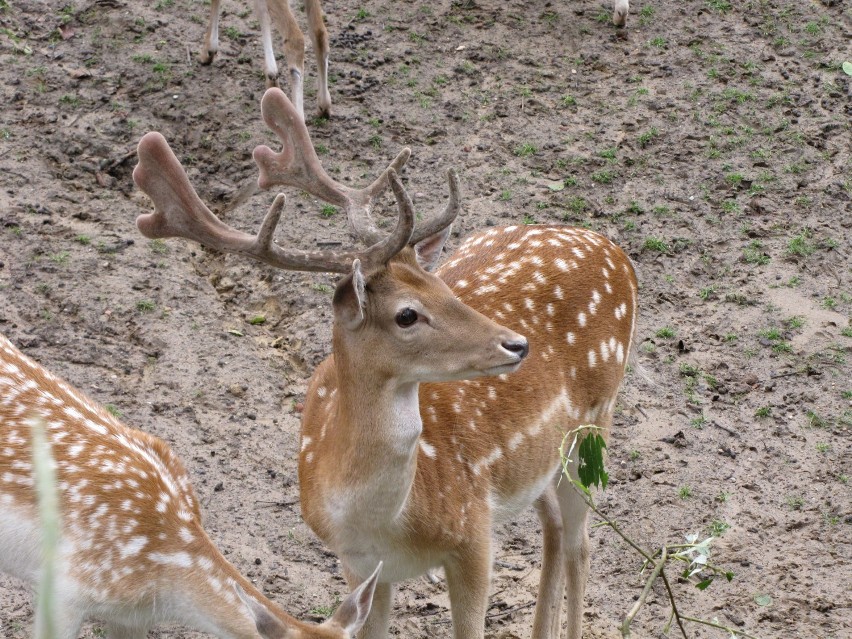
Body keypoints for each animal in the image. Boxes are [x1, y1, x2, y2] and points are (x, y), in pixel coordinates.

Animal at [133, 89, 636, 639]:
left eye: (440, 286)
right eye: (407, 314)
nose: (517, 345)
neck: (387, 525)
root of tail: (615, 250)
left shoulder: (474, 534)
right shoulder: (358, 565)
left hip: (597, 417)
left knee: (581, 544)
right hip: (542, 457)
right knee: (555, 527)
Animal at [201, 0, 332, 120]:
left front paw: (208, 50)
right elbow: (262, 11)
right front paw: (272, 76)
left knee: (296, 39)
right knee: (320, 33)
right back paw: (324, 106)